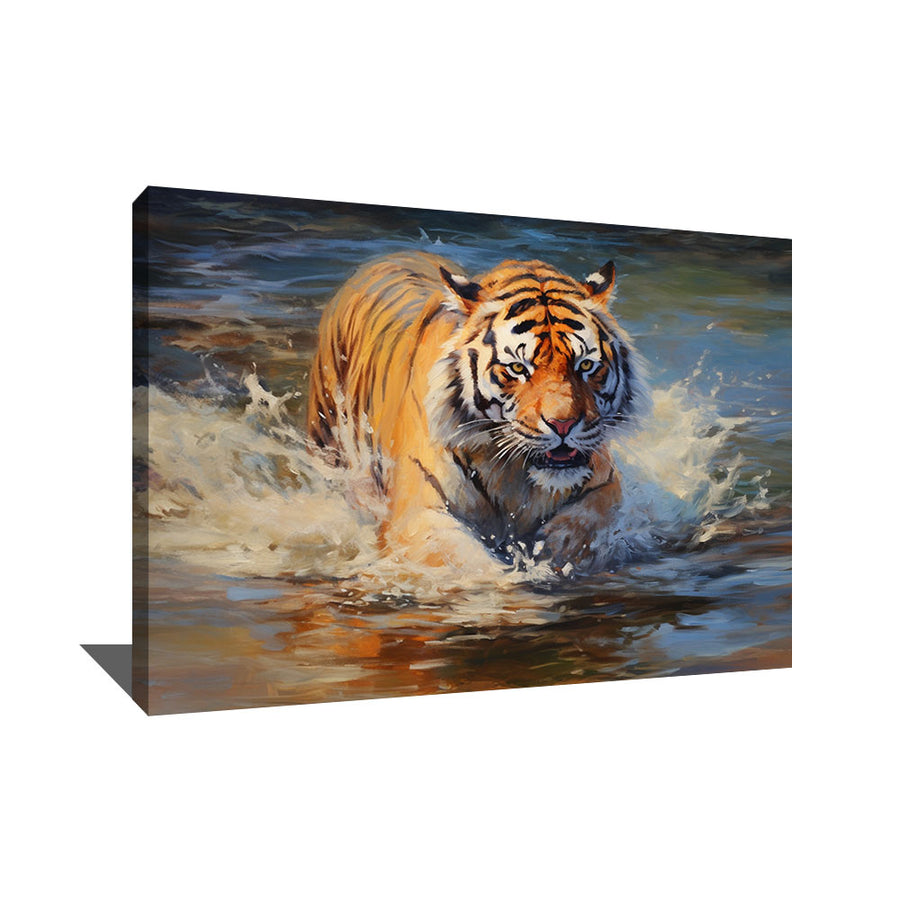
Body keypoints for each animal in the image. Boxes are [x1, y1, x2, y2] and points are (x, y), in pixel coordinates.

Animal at [306, 251, 645, 573]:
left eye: (585, 365)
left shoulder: (605, 482)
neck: (515, 477)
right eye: (518, 369)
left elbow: (589, 520)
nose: (563, 425)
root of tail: (390, 256)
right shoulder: (419, 511)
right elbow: (467, 562)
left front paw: (554, 548)